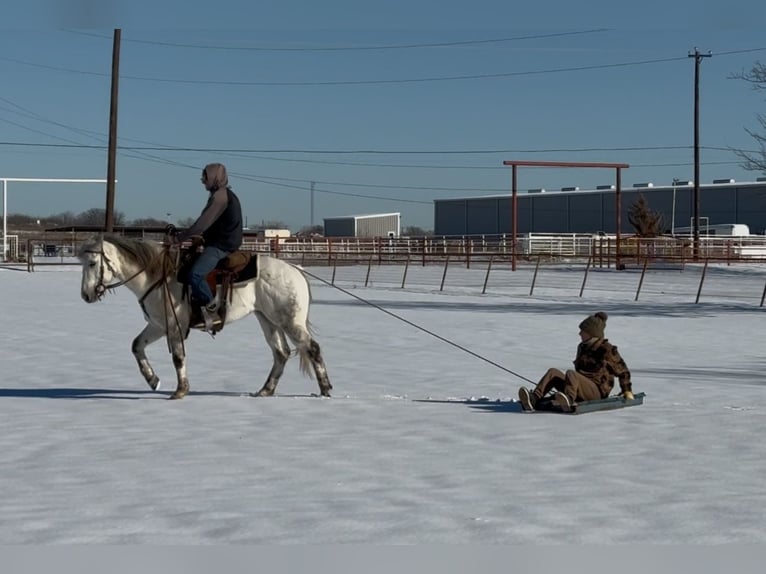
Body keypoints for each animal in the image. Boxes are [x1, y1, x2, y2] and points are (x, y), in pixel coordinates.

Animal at [78, 234, 332, 400]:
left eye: (92, 263)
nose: (86, 295)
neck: (157, 276)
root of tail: (296, 270)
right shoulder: (158, 326)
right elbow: (136, 346)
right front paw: (153, 380)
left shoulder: (174, 326)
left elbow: (178, 358)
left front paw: (180, 390)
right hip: (267, 320)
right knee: (281, 353)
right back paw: (265, 390)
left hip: (290, 321)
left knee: (312, 348)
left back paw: (325, 389)